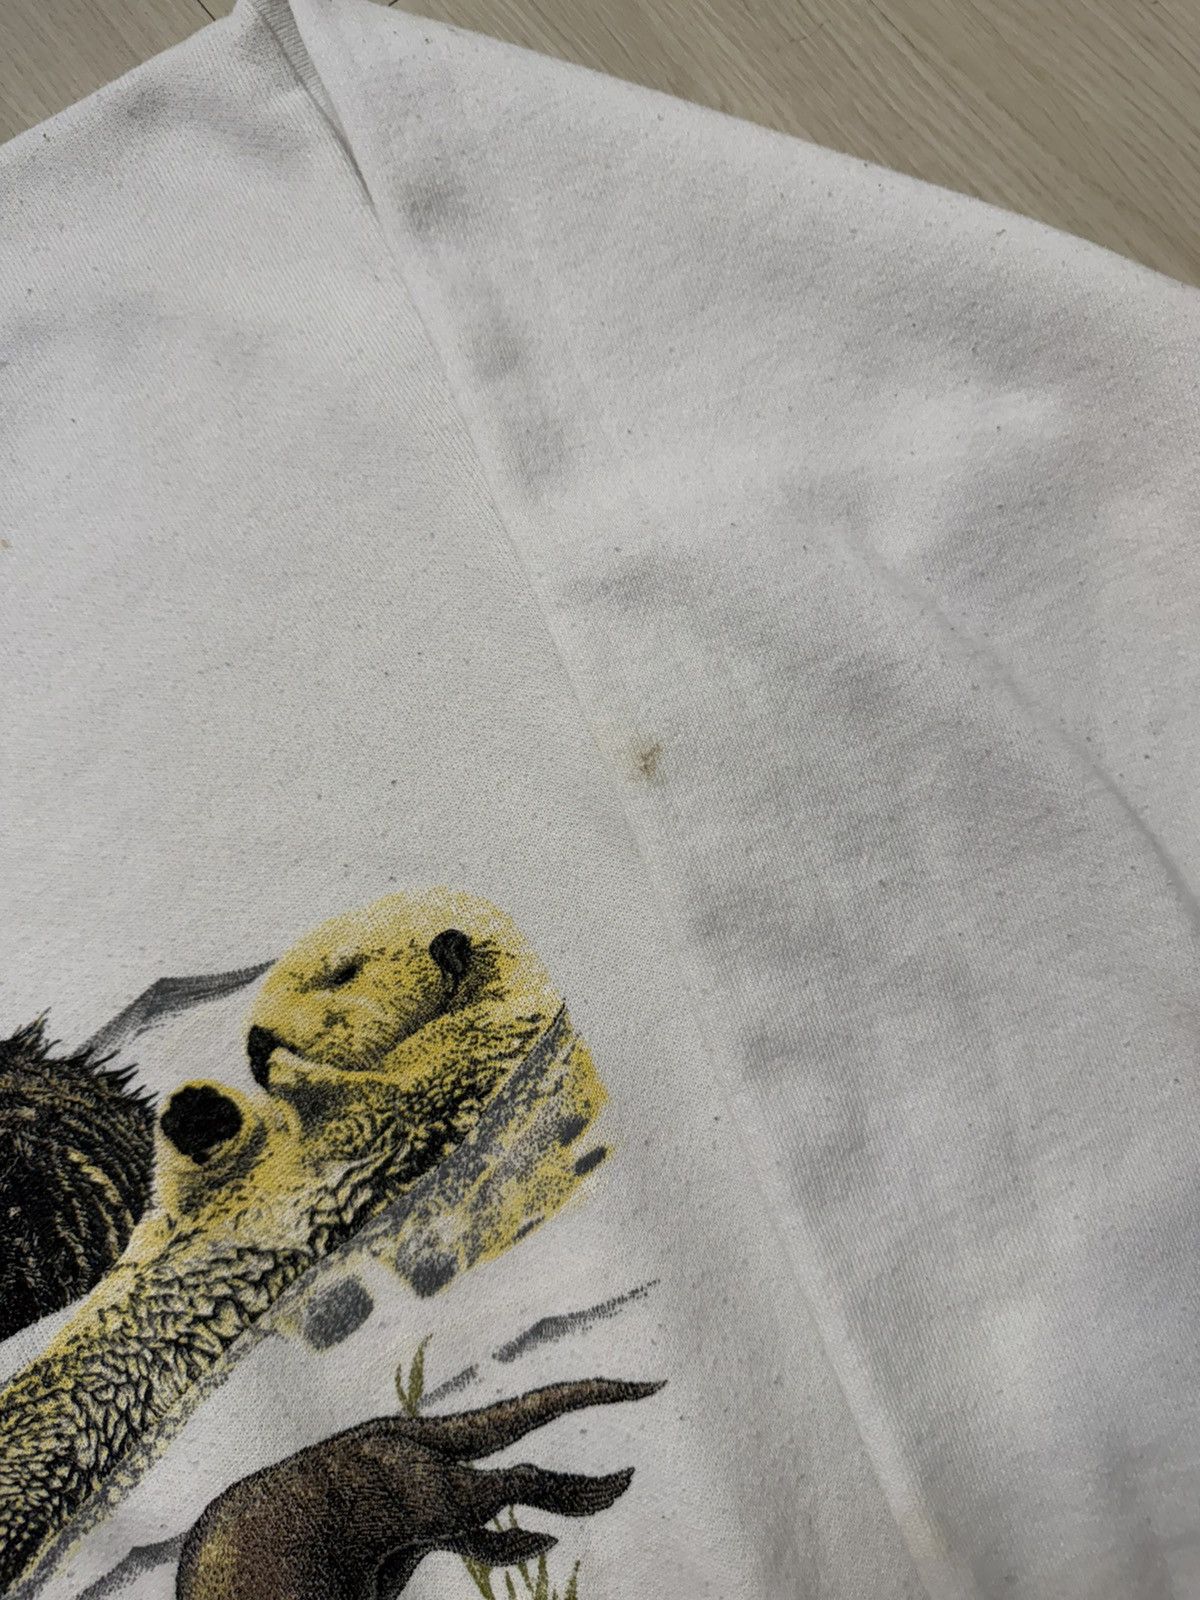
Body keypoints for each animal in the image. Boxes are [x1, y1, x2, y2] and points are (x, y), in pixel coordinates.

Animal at [177, 1378, 661, 1600]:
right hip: (398, 1548)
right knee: (465, 1539)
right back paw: (530, 1540)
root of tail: (364, 1433)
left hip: (419, 1495)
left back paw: (593, 1495)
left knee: (506, 1481)